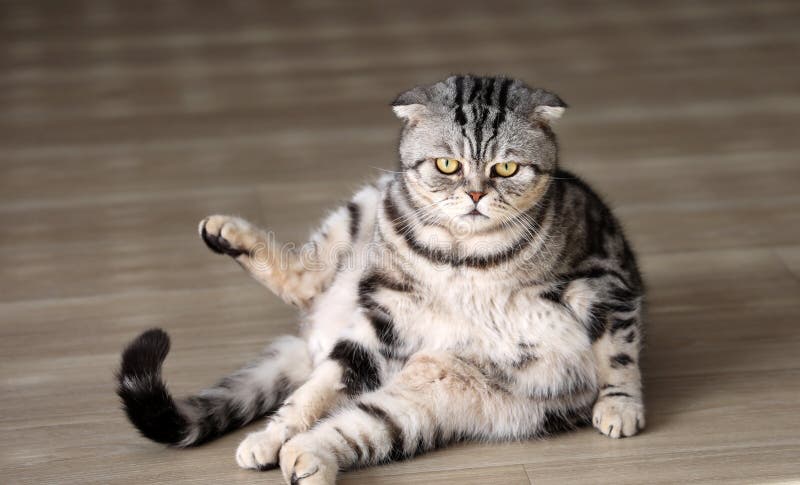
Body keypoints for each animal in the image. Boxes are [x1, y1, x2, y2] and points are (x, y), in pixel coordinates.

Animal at [117, 73, 644, 482]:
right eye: (448, 164)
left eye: (507, 168)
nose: (475, 195)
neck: (466, 257)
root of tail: (315, 339)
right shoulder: (386, 322)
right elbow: (312, 395)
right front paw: (272, 434)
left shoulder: (604, 280)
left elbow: (619, 351)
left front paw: (620, 407)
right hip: (369, 211)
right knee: (307, 298)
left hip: (431, 397)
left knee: (357, 424)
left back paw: (305, 458)